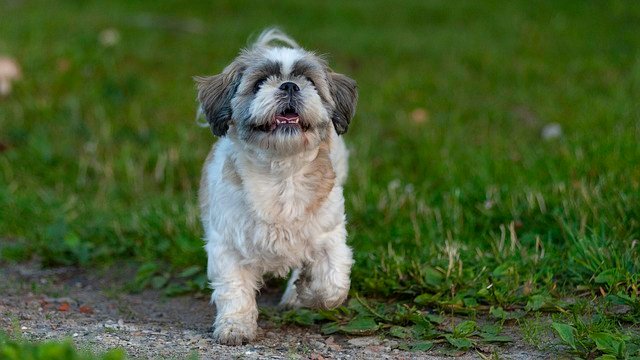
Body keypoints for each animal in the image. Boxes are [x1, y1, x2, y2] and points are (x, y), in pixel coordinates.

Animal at [195, 28, 358, 346]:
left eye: (309, 81)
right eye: (259, 83)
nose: (290, 85)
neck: (282, 172)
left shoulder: (330, 233)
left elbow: (332, 284)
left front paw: (306, 290)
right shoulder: (227, 243)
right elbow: (234, 289)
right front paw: (235, 326)